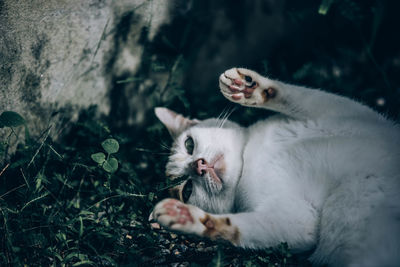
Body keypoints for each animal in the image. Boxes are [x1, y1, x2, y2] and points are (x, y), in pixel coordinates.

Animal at [149, 68, 400, 266]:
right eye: (188, 190)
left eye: (189, 145)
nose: (198, 166)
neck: (251, 156)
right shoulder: (299, 220)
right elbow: (238, 228)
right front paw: (187, 217)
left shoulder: (352, 115)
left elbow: (301, 96)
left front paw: (248, 88)